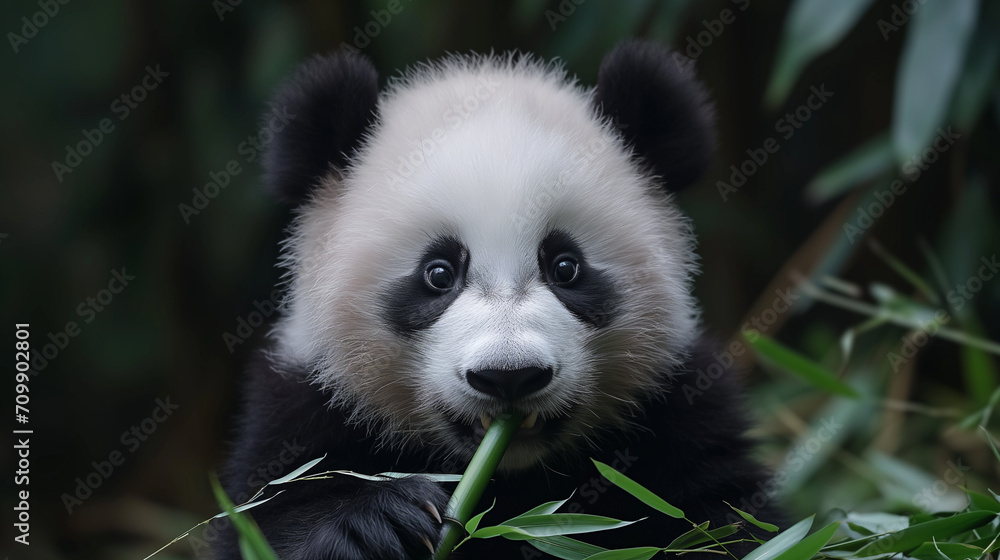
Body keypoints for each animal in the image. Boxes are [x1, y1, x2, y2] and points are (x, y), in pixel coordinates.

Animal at [216, 40, 783, 560]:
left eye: (565, 267)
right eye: (438, 274)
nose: (509, 376)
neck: (504, 480)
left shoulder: (677, 409)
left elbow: (722, 519)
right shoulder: (302, 409)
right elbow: (269, 518)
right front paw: (377, 525)